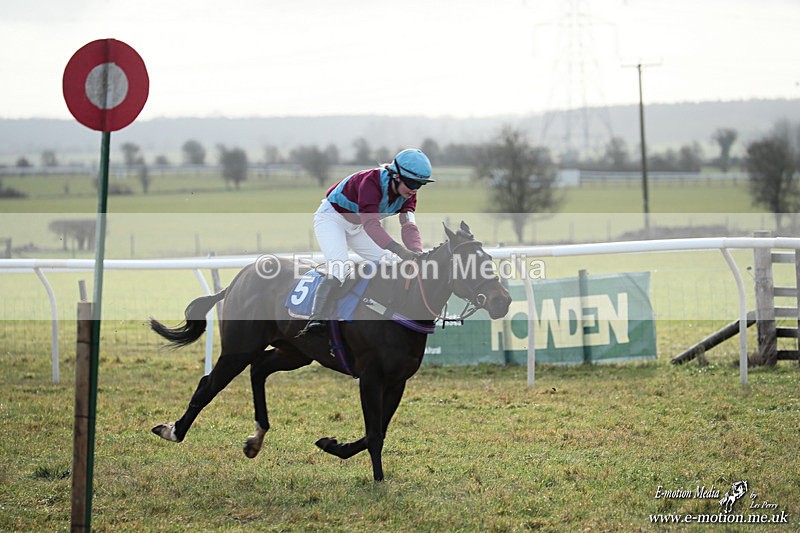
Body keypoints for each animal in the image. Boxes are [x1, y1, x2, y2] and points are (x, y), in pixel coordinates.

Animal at [149, 221, 511, 481]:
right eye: (467, 264)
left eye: (489, 261)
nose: (503, 300)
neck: (399, 301)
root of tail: (239, 278)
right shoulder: (370, 377)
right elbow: (374, 433)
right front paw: (379, 481)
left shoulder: (397, 381)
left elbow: (377, 431)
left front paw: (332, 445)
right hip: (240, 347)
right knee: (208, 385)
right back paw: (173, 430)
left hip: (294, 352)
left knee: (260, 368)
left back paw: (256, 438)